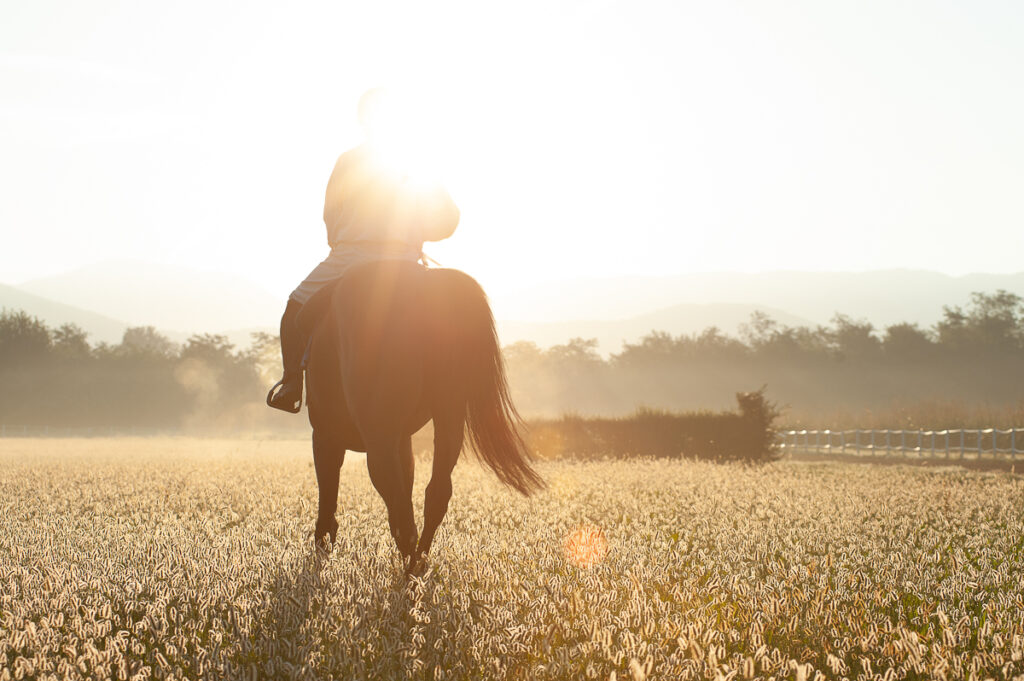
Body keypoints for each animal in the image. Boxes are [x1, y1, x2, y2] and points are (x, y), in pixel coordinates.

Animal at [299, 260, 544, 573]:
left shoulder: (326, 434)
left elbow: (328, 485)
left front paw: (323, 540)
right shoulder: (402, 440)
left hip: (378, 433)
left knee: (397, 501)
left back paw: (409, 567)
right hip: (448, 416)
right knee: (435, 493)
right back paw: (419, 562)